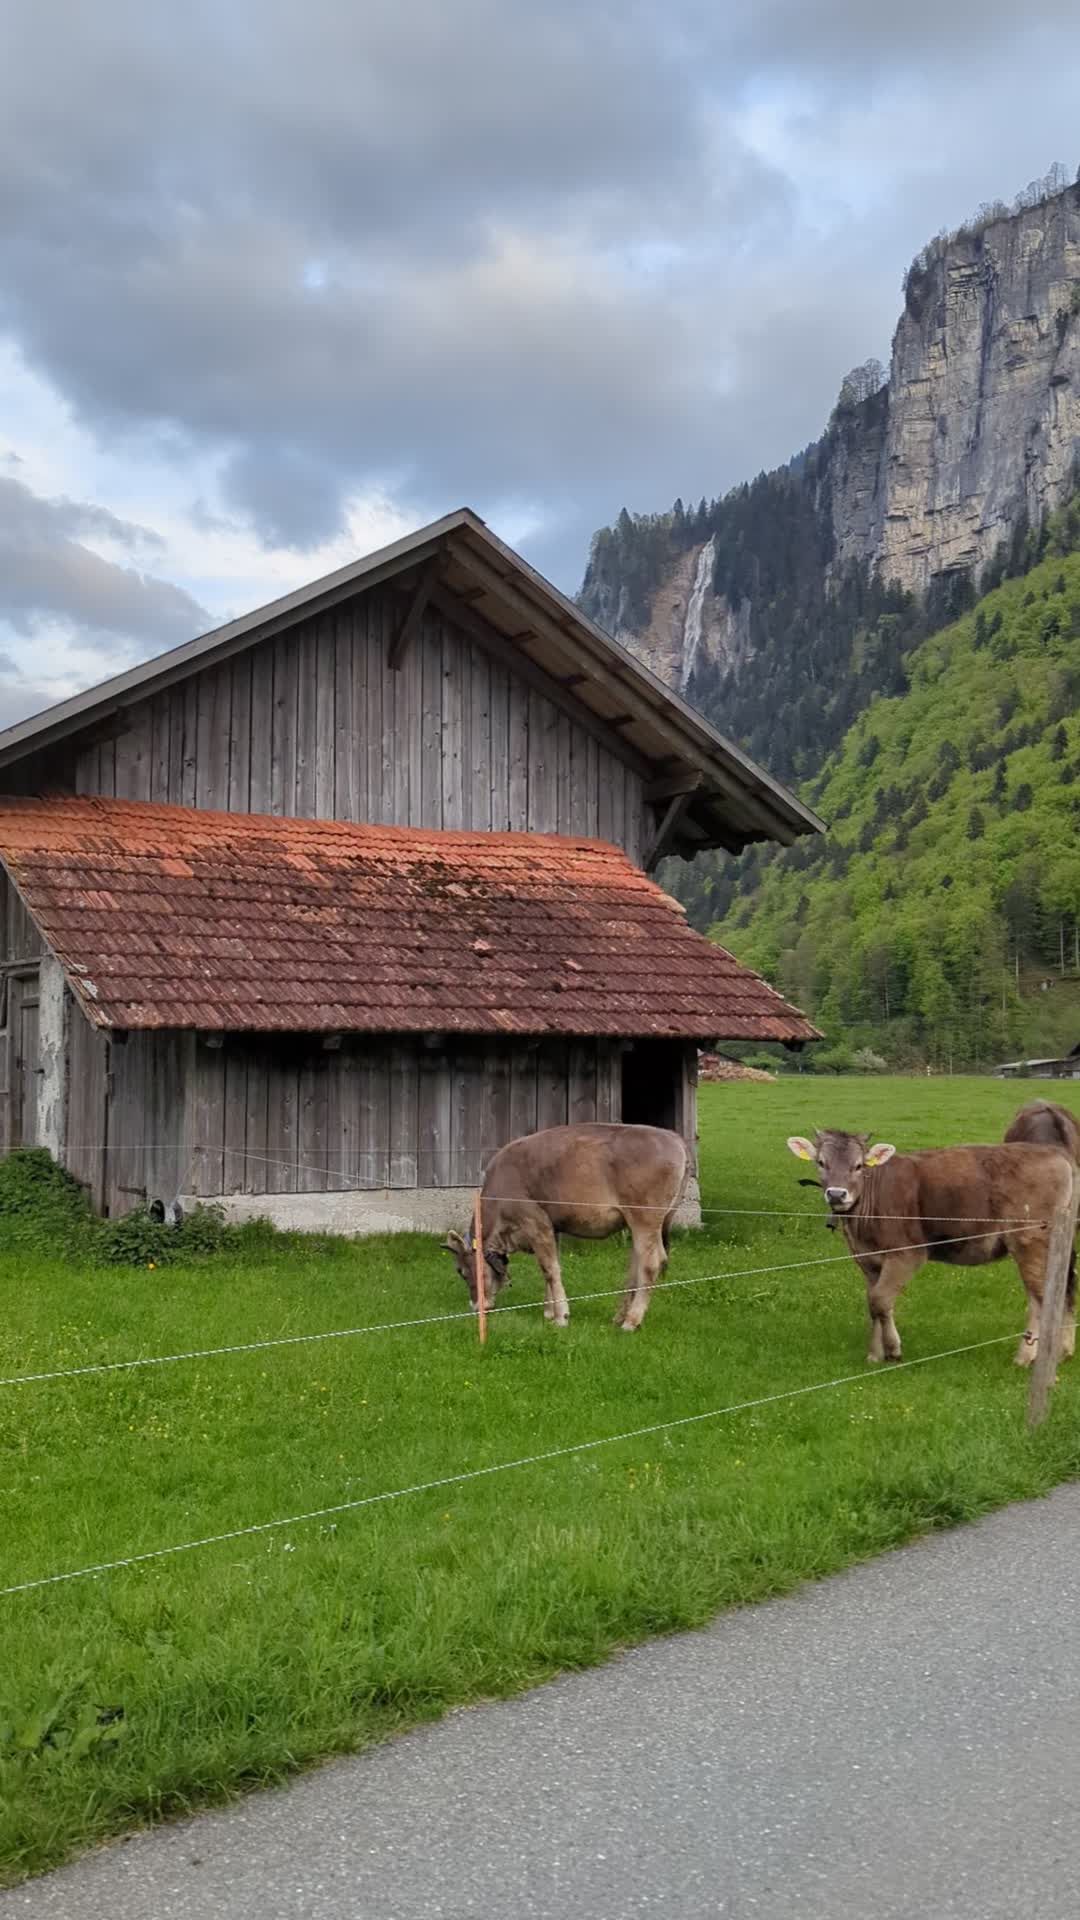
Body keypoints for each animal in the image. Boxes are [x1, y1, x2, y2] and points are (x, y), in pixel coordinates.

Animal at [441, 1123, 689, 1331]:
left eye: (461, 1271)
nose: (475, 1306)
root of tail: (673, 1137)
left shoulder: (535, 1222)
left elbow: (549, 1269)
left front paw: (561, 1317)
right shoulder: (553, 1228)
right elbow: (551, 1267)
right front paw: (549, 1312)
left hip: (645, 1219)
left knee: (651, 1263)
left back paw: (631, 1321)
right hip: (639, 1224)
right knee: (636, 1264)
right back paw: (619, 1316)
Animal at [786, 1129, 1076, 1367]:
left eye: (858, 1166)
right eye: (821, 1163)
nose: (836, 1194)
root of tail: (1055, 1153)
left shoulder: (907, 1253)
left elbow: (880, 1299)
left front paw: (893, 1350)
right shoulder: (868, 1259)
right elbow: (874, 1304)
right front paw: (874, 1355)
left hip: (1031, 1241)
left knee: (1042, 1297)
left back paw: (1028, 1357)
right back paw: (1062, 1351)